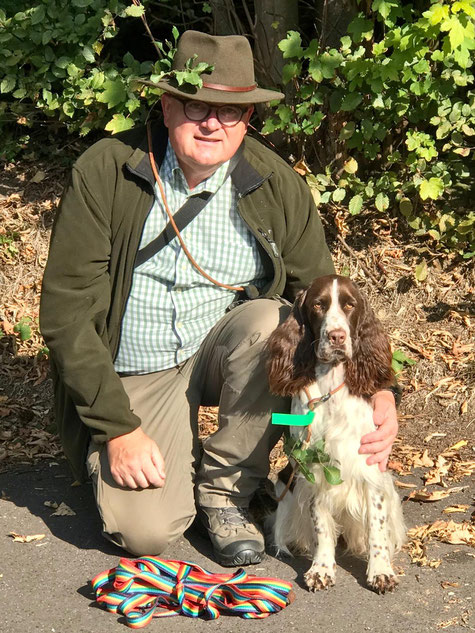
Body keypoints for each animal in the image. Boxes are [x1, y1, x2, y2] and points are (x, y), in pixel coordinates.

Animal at [268, 276, 406, 592]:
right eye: (318, 304)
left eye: (350, 305)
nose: (337, 337)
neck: (331, 389)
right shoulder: (312, 469)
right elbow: (321, 525)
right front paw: (321, 569)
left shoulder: (370, 466)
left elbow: (376, 528)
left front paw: (381, 571)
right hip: (286, 484)